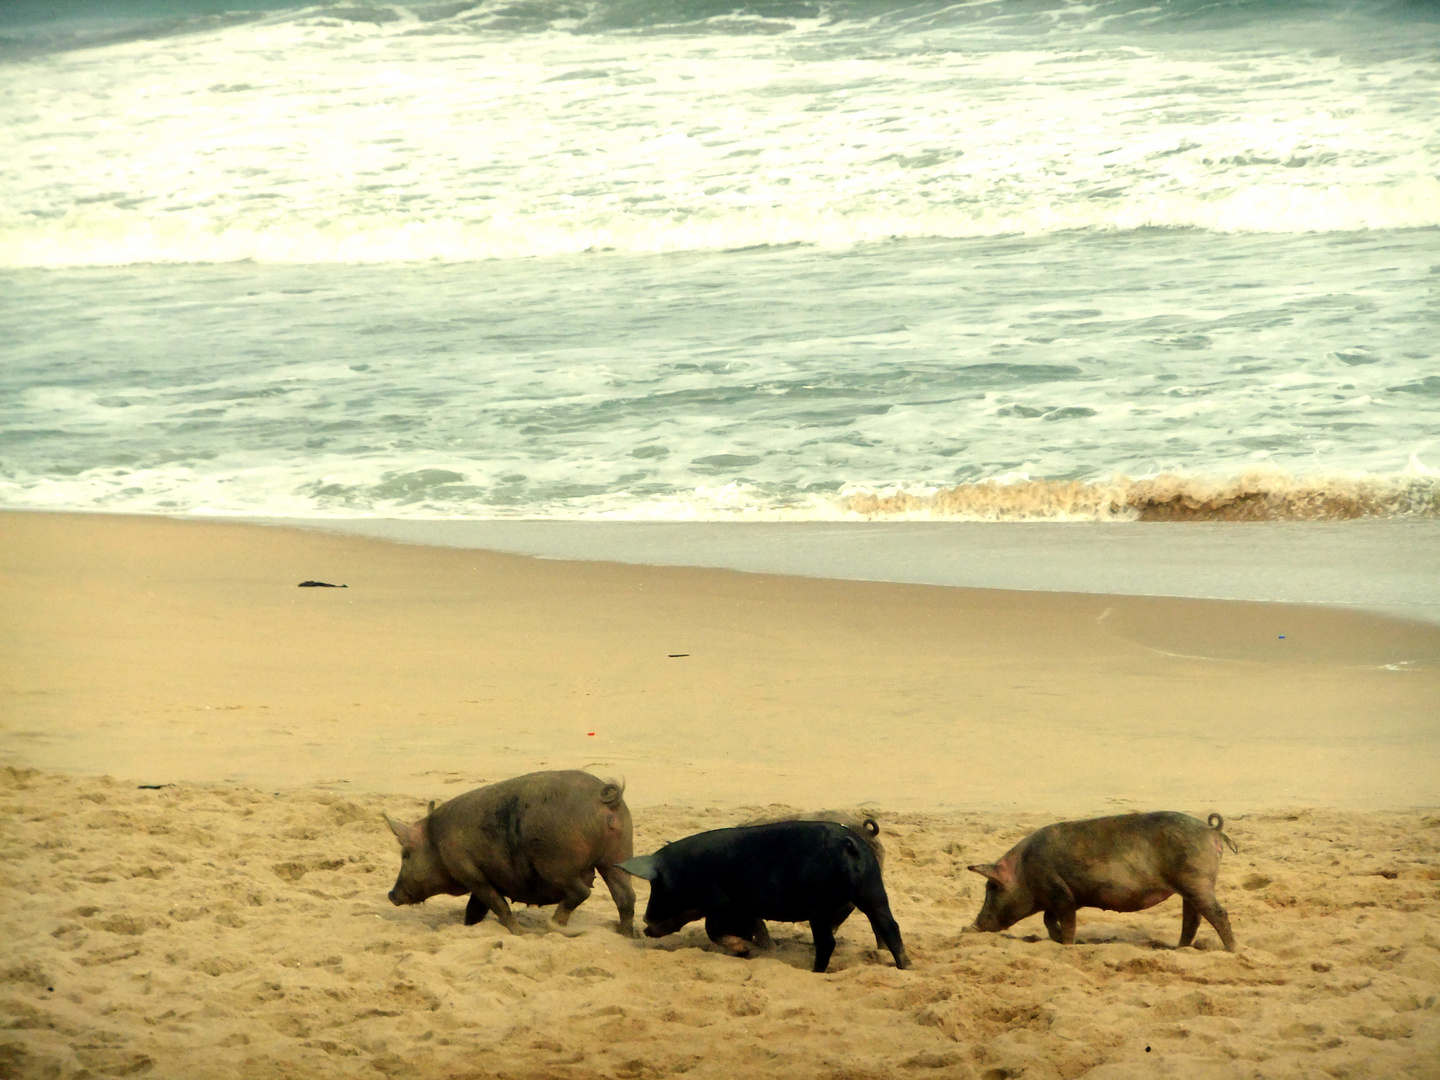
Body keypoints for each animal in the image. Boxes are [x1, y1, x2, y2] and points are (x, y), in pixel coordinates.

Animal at [619, 817, 910, 973]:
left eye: (657, 886)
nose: (645, 925)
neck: (687, 872)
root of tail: (848, 843)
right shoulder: (745, 909)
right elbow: (749, 929)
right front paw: (746, 952)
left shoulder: (720, 903)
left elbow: (713, 930)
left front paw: (741, 948)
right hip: (873, 890)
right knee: (890, 927)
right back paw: (906, 966)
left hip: (819, 904)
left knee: (828, 942)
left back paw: (815, 971)